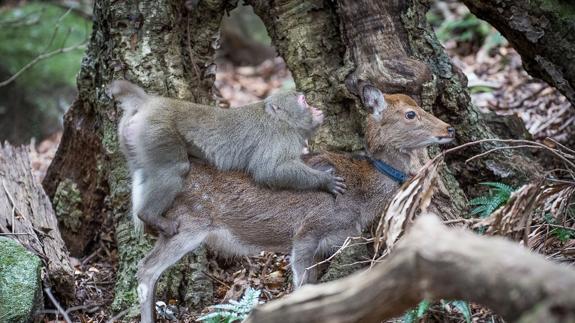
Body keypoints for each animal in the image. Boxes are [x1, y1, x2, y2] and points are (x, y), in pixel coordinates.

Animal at [108, 80, 346, 238]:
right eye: (303, 101)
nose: (316, 108)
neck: (282, 120)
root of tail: (149, 103)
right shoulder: (279, 136)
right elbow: (268, 171)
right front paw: (325, 180)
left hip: (133, 137)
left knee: (142, 172)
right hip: (157, 130)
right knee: (175, 170)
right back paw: (150, 215)